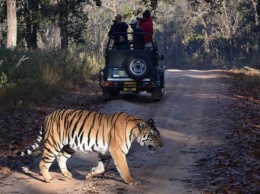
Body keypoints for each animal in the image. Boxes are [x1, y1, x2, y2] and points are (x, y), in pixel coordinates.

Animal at [11, 108, 165, 186]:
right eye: (153, 135)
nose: (162, 145)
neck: (134, 131)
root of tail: (47, 116)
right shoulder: (118, 152)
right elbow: (124, 168)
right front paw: (131, 181)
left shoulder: (106, 152)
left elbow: (102, 168)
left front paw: (90, 174)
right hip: (53, 144)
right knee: (43, 163)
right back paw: (49, 179)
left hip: (69, 146)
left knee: (61, 158)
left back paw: (67, 174)